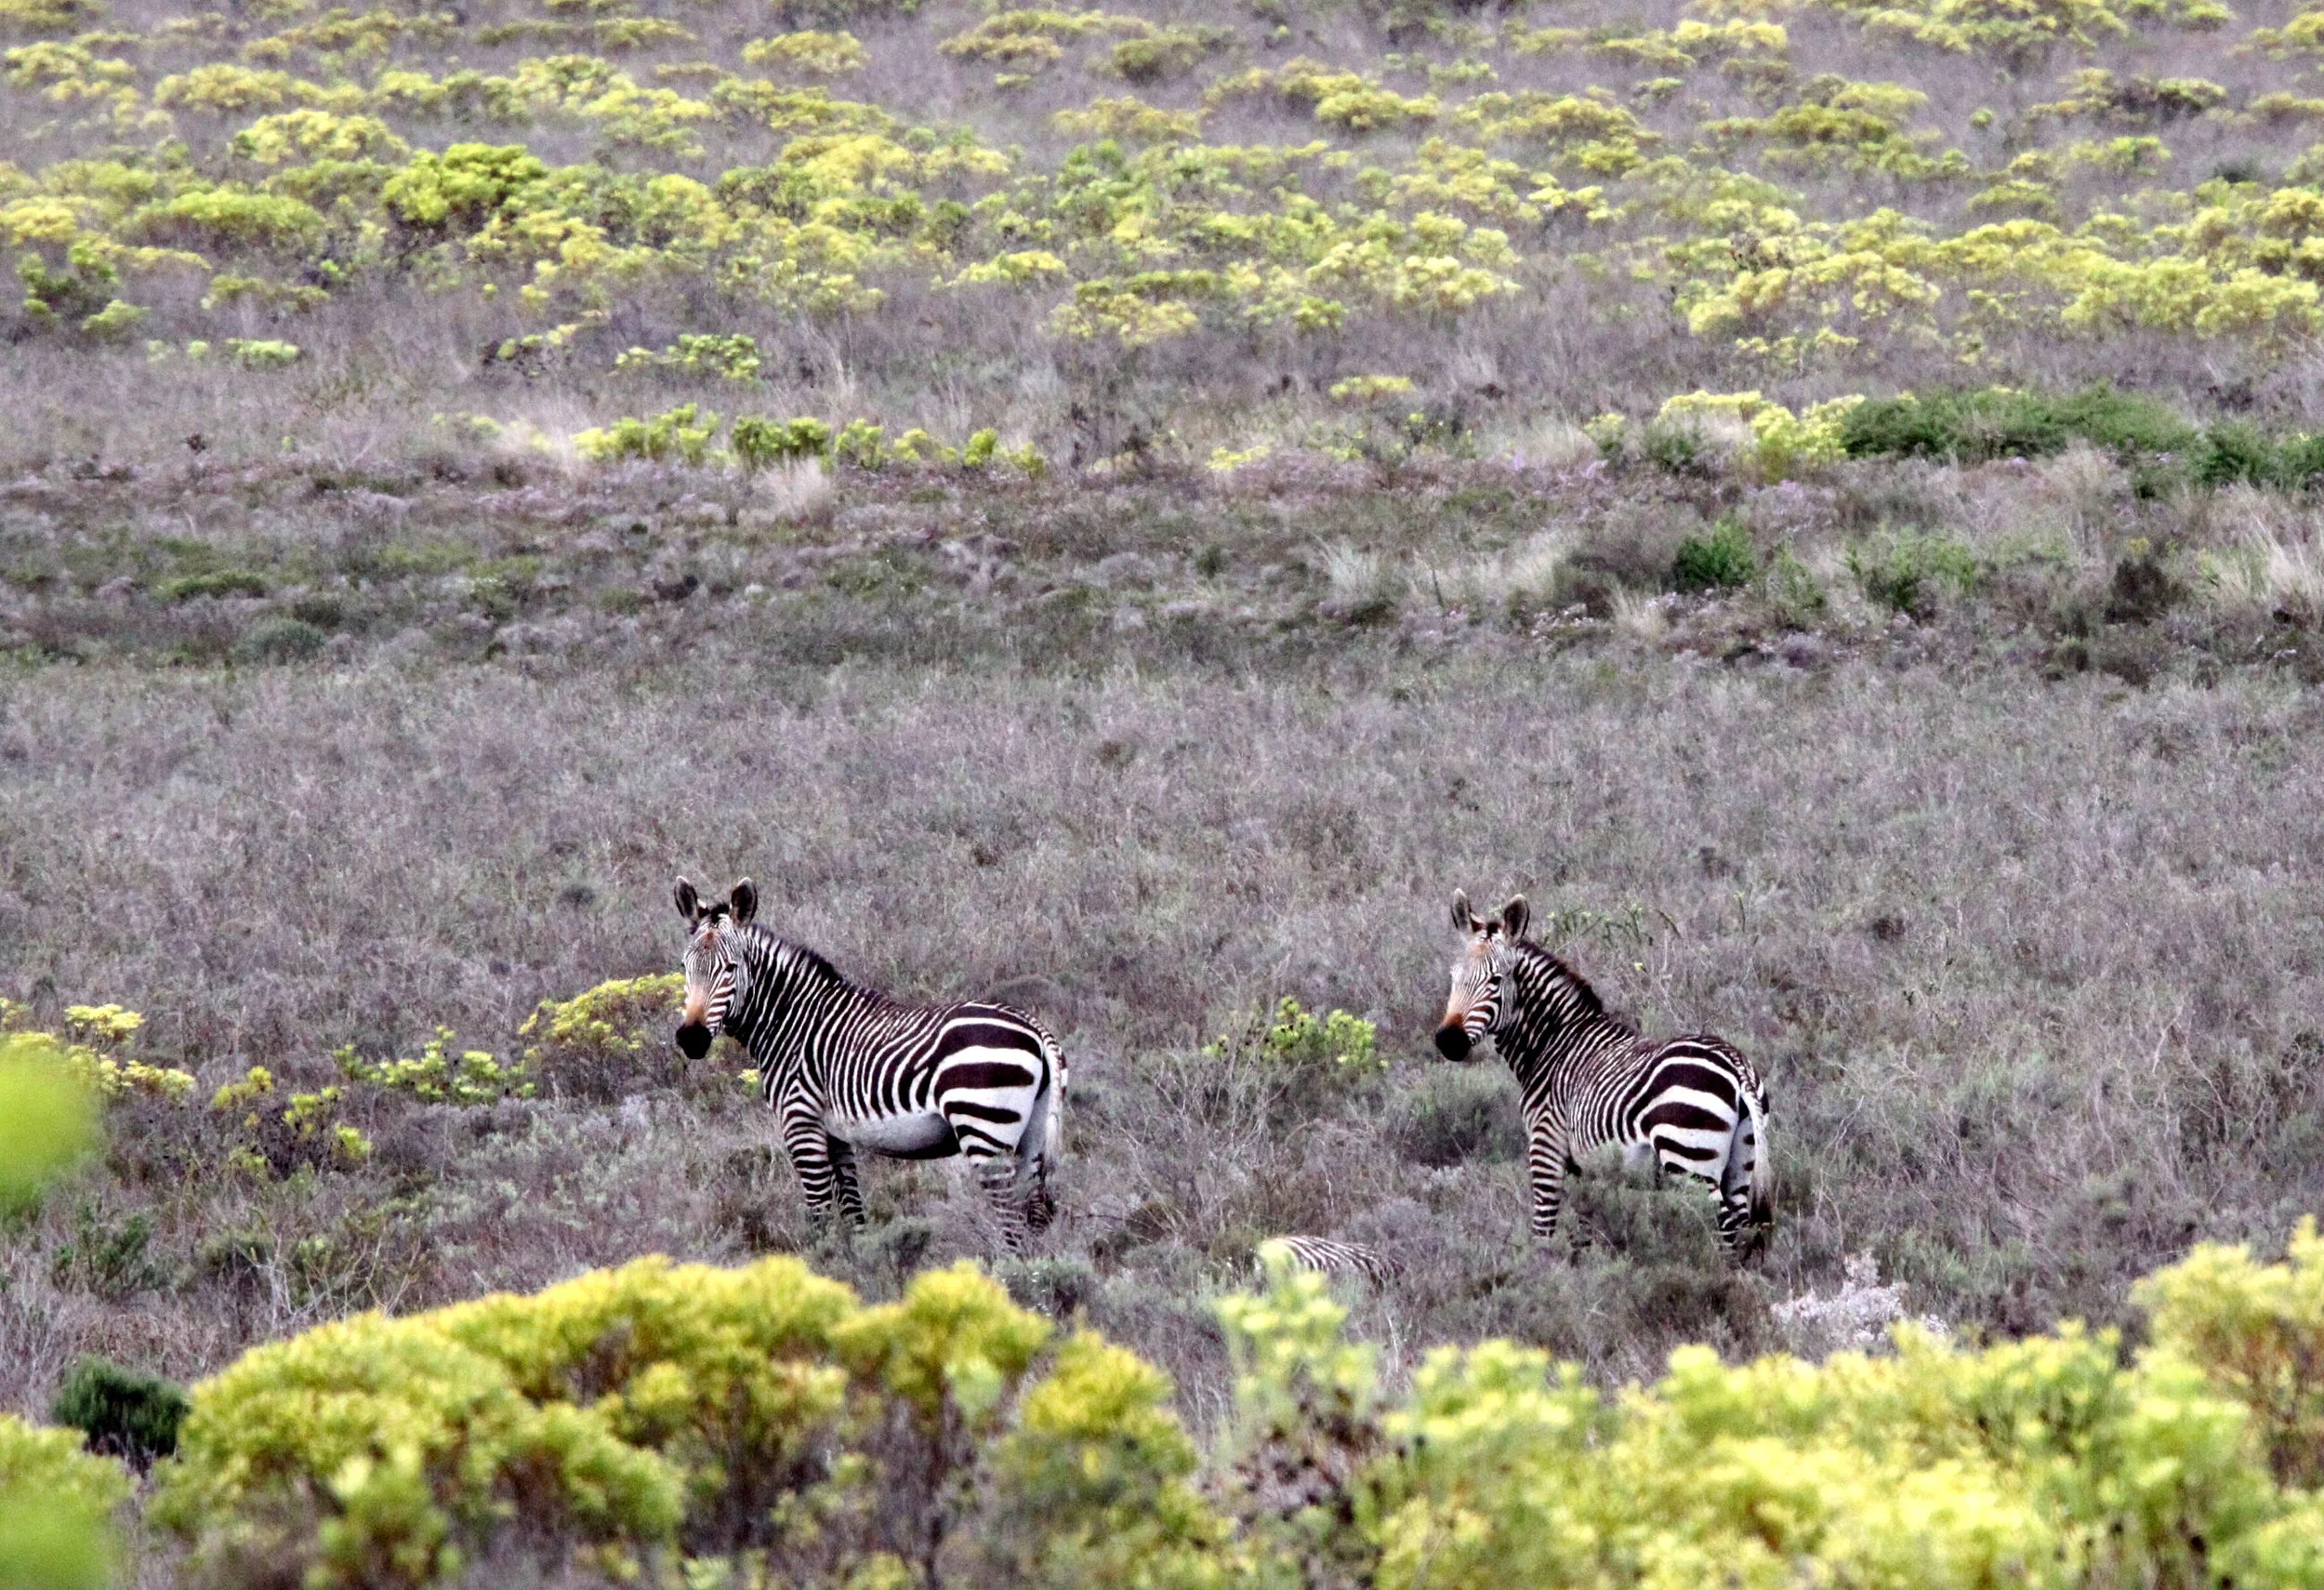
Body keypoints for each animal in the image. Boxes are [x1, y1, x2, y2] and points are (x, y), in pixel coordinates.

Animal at [673, 876, 1066, 1252]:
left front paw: (823, 1264)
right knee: (1033, 1215)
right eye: (684, 967)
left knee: (1012, 1224)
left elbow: (820, 1216)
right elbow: (853, 1213)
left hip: (984, 1132)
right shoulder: (836, 1135)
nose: (691, 1039)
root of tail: (1036, 1029)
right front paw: (858, 1267)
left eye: (730, 969)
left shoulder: (800, 1123)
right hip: (1032, 1135)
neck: (793, 1020)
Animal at [1435, 890, 1773, 1263]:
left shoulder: (1546, 1143)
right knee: (1739, 1224)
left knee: (1723, 1225)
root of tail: (1736, 1065)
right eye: (1453, 977)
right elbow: (1584, 1226)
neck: (1555, 1041)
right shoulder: (1584, 1165)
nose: (1447, 1041)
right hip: (1742, 1160)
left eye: (1495, 981)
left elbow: (1543, 1226)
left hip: (1689, 1160)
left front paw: (1541, 1270)